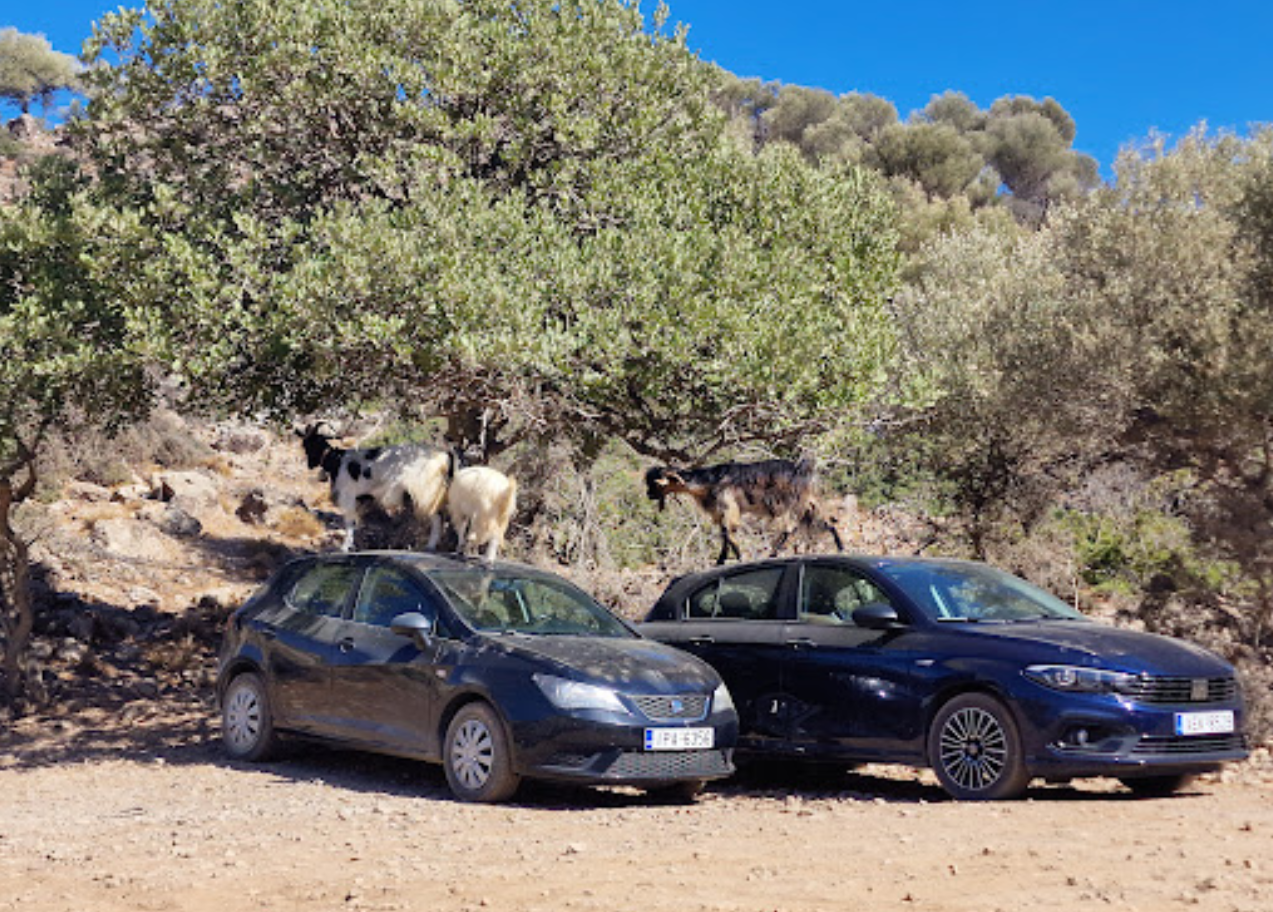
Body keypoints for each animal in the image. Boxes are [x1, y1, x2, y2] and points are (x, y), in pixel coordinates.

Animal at [296, 422, 453, 552]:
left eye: (309, 444)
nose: (310, 464)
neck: (338, 460)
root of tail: (442, 457)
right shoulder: (361, 499)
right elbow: (357, 523)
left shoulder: (348, 496)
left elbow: (349, 522)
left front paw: (345, 547)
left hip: (426, 492)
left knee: (437, 517)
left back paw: (430, 546)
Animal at [646, 458, 845, 565]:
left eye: (657, 484)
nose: (648, 495)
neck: (708, 481)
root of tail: (802, 470)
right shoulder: (721, 512)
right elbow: (724, 536)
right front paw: (720, 561)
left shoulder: (729, 507)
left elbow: (729, 534)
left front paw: (739, 558)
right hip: (808, 501)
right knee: (824, 520)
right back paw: (840, 546)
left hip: (793, 503)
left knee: (791, 528)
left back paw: (774, 553)